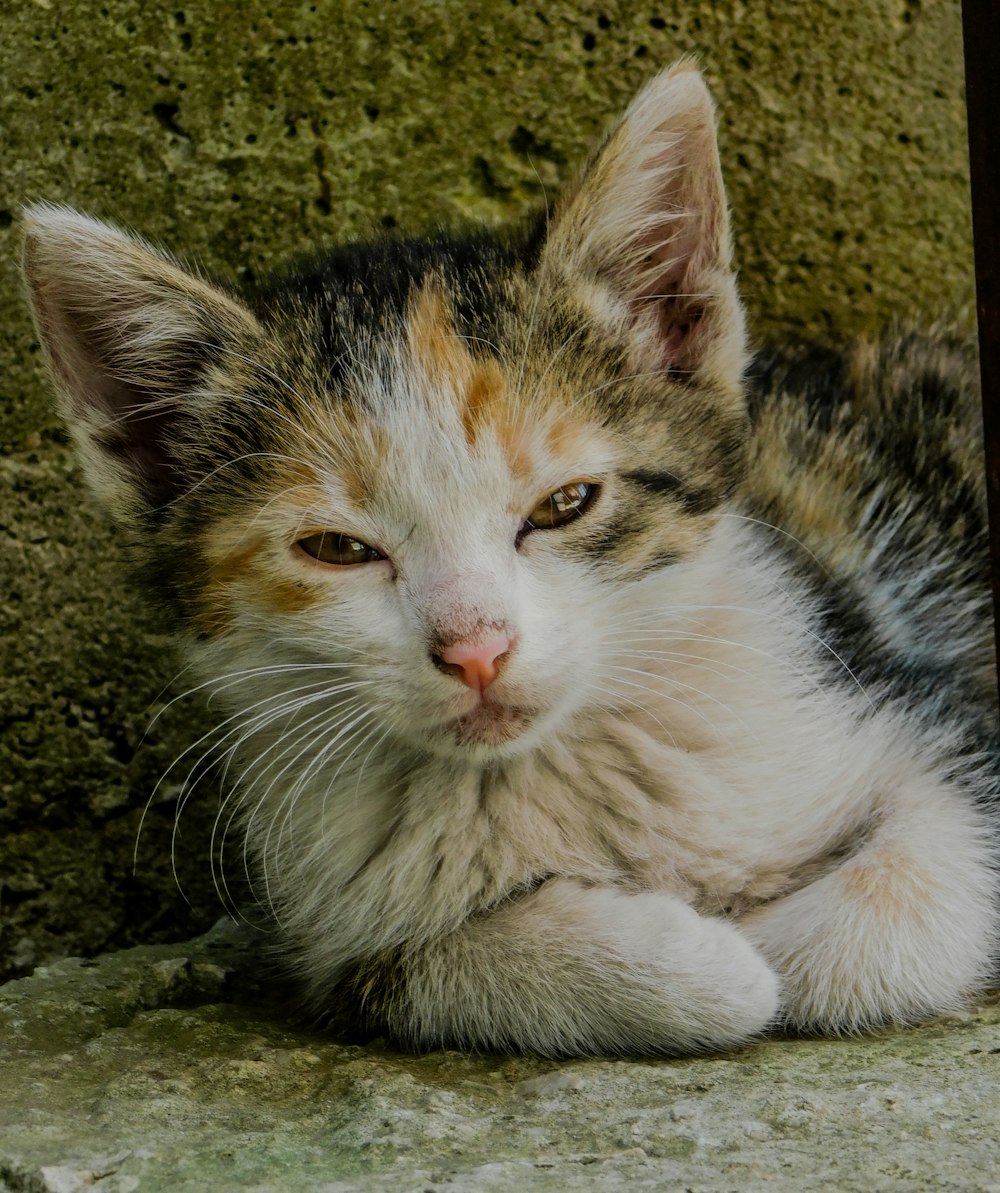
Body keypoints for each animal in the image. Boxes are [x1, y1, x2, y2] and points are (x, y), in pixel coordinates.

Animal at [19, 60, 997, 1059]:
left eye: (564, 505)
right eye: (338, 548)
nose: (477, 650)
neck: (549, 761)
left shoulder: (920, 704)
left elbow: (900, 899)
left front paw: (779, 947)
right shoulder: (341, 932)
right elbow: (426, 968)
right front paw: (704, 966)